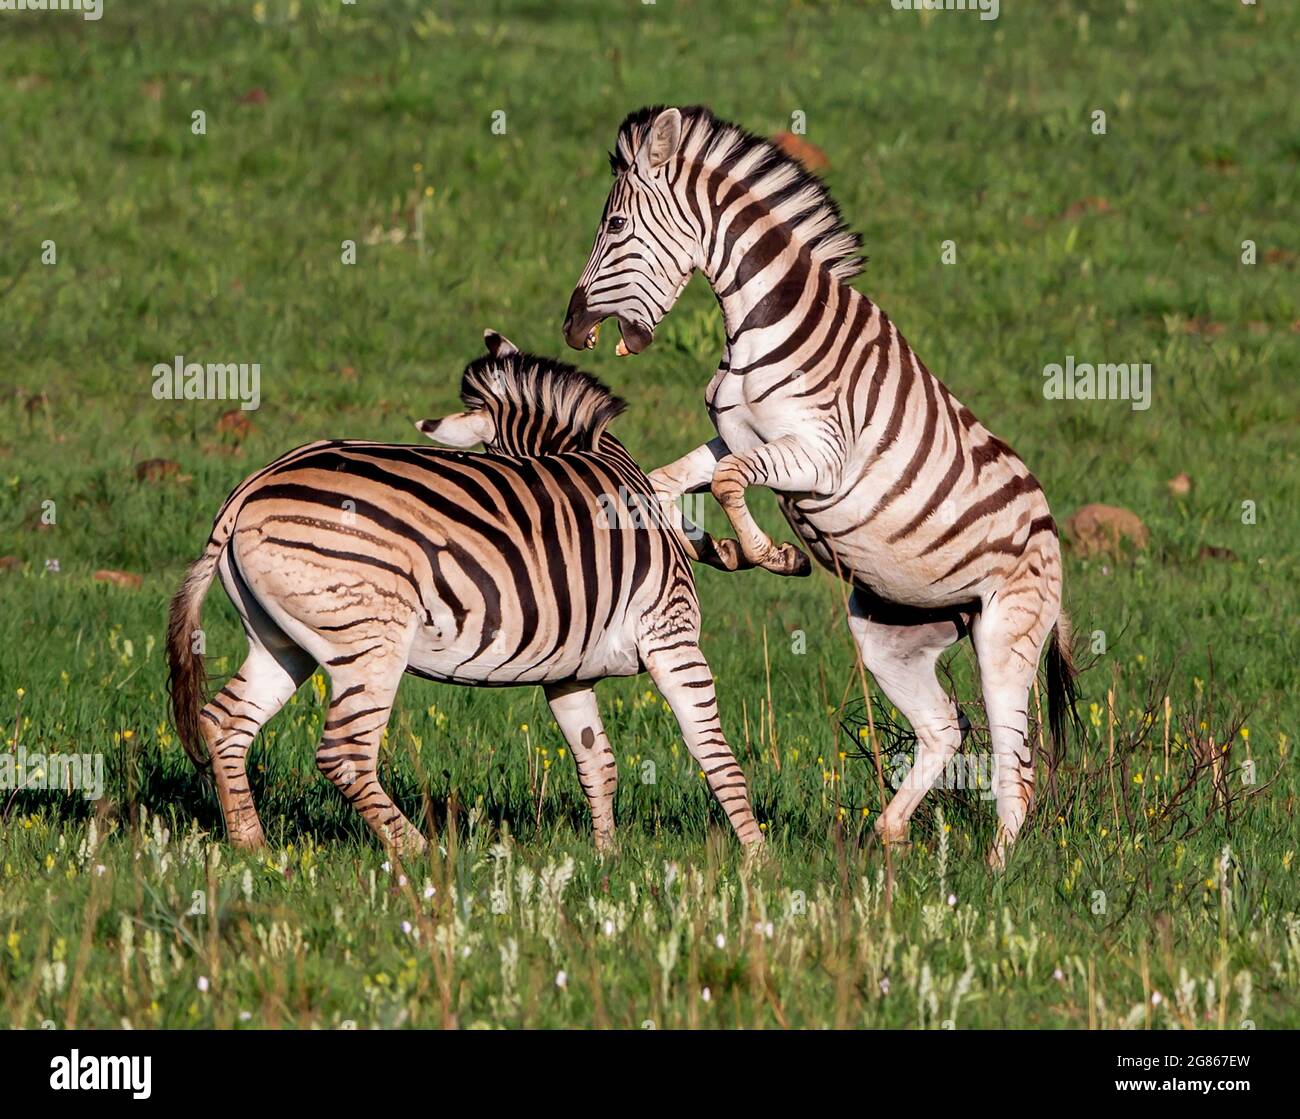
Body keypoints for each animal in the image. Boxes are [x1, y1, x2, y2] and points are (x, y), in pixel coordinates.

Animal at [167, 327, 764, 852]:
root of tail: (251, 487)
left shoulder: (568, 671)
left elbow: (598, 762)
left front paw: (607, 859)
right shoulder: (672, 636)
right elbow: (714, 754)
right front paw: (758, 863)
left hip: (283, 639)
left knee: (225, 722)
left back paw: (252, 846)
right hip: (370, 639)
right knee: (344, 754)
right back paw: (419, 852)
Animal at [564, 107, 1081, 873]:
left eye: (617, 225)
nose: (572, 327)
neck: (759, 322)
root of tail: (1050, 529)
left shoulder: (820, 457)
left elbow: (726, 483)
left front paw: (769, 555)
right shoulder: (736, 436)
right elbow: (665, 483)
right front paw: (711, 545)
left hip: (1005, 637)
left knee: (1015, 766)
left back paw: (994, 880)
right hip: (893, 635)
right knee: (942, 728)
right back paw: (890, 833)